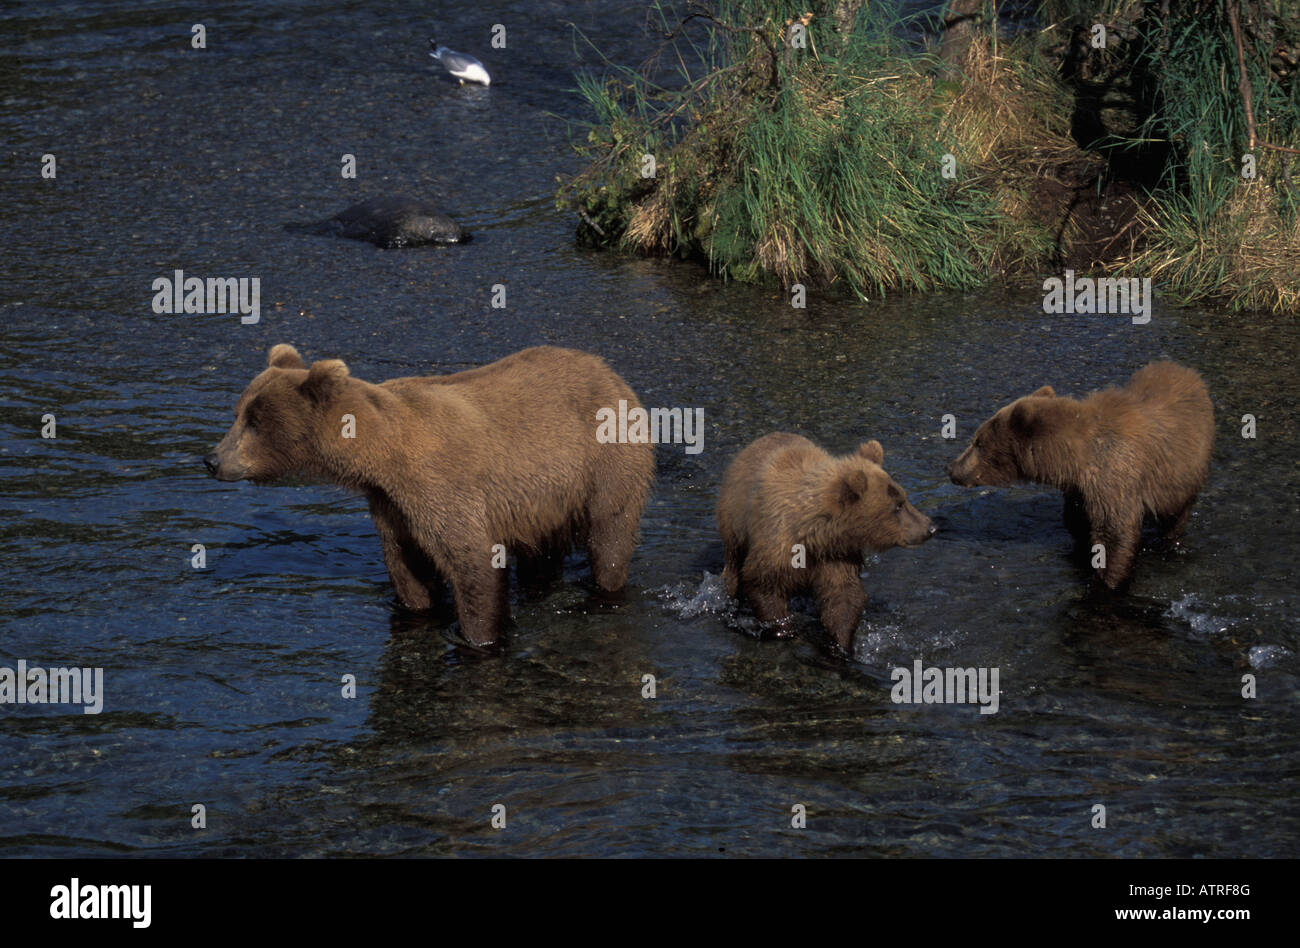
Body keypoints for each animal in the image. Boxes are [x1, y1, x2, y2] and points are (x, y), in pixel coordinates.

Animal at [205, 344, 654, 646]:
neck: (382, 455)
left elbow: (473, 562)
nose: (212, 460)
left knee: (610, 536)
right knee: (541, 554)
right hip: (544, 500)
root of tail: (608, 369)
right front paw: (418, 613)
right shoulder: (391, 504)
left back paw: (605, 590)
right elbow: (408, 567)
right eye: (237, 413)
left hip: (605, 464)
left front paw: (478, 640)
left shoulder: (440, 486)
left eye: (255, 422)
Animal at [716, 433, 936, 652]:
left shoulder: (836, 555)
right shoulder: (777, 545)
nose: (930, 527)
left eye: (903, 498)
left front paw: (840, 645)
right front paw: (786, 631)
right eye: (898, 506)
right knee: (733, 566)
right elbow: (763, 585)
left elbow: (843, 598)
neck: (814, 533)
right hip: (733, 525)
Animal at [945, 360, 1213, 590]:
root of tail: (1190, 372)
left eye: (978, 442)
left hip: (1182, 474)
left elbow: (1115, 534)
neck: (1074, 459)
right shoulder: (1079, 489)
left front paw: (1106, 582)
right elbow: (1078, 521)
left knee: (1176, 514)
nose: (951, 468)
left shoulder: (1112, 477)